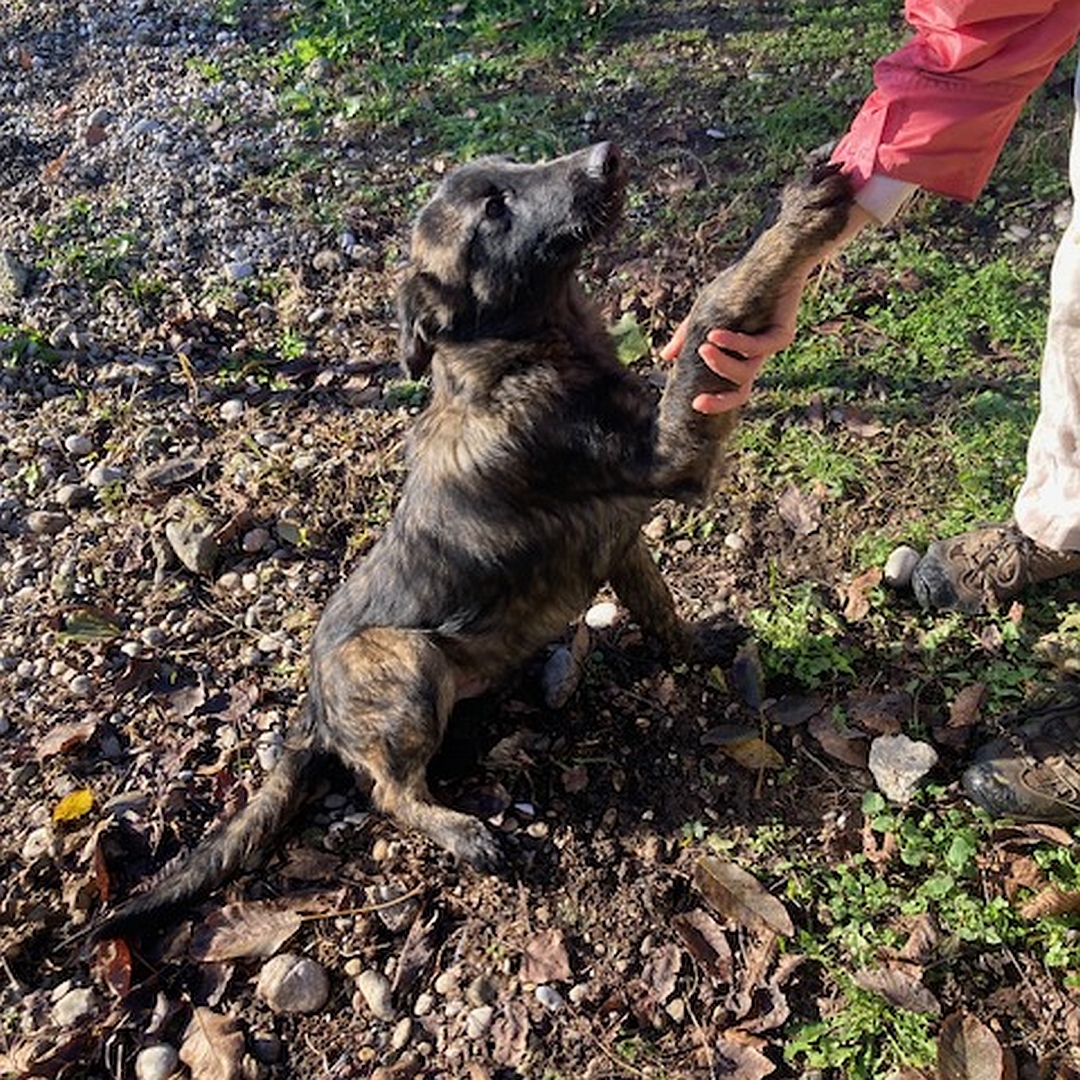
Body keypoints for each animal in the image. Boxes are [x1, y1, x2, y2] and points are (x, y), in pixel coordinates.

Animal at [95, 143, 851, 937]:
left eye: (516, 169)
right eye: (494, 210)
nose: (606, 156)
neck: (527, 352)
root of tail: (314, 711)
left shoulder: (623, 538)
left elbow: (661, 610)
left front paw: (696, 646)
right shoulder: (674, 455)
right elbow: (716, 301)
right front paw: (800, 216)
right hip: (408, 657)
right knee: (388, 794)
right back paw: (464, 831)